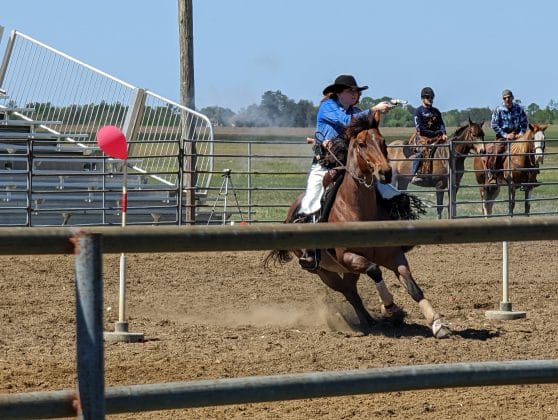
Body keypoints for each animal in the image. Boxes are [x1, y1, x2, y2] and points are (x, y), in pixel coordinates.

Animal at [264, 113, 452, 340]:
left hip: (348, 270)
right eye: (361, 144)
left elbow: (412, 286)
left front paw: (437, 324)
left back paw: (370, 320)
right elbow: (375, 270)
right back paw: (370, 321)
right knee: (348, 291)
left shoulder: (393, 255)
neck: (357, 209)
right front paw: (390, 308)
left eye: (383, 142)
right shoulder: (349, 256)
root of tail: (290, 214)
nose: (386, 172)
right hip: (324, 271)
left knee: (351, 289)